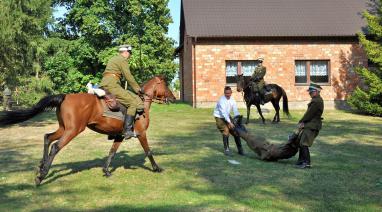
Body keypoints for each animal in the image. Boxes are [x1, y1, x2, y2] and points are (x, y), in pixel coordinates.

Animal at [0, 75, 175, 185]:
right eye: (165, 85)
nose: (173, 98)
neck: (141, 104)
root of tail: (65, 96)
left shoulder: (119, 136)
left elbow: (112, 152)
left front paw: (106, 171)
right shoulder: (141, 134)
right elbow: (149, 151)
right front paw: (157, 168)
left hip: (64, 128)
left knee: (47, 138)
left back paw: (41, 166)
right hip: (72, 131)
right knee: (56, 146)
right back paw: (41, 176)